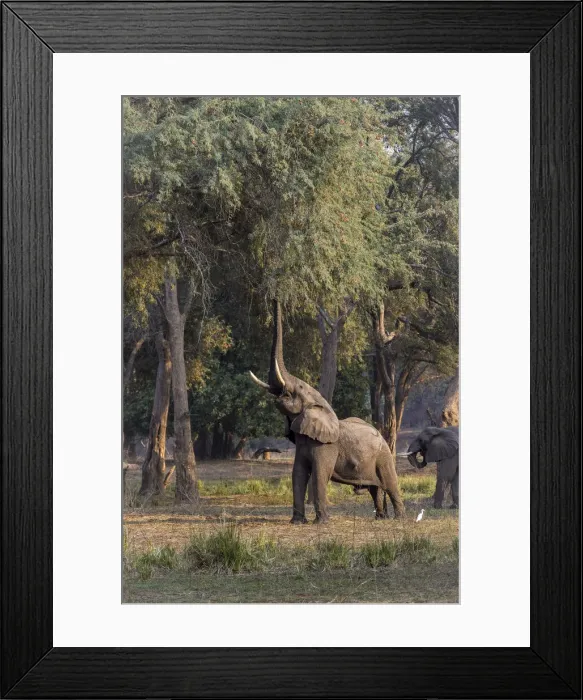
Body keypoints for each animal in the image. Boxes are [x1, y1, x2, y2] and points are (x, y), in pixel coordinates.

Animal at [249, 300, 405, 524]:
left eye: (299, 388)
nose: (276, 299)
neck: (320, 406)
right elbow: (298, 473)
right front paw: (297, 522)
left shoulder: (327, 445)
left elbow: (320, 474)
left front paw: (320, 522)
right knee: (375, 489)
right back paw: (381, 519)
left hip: (384, 455)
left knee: (390, 483)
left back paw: (399, 518)